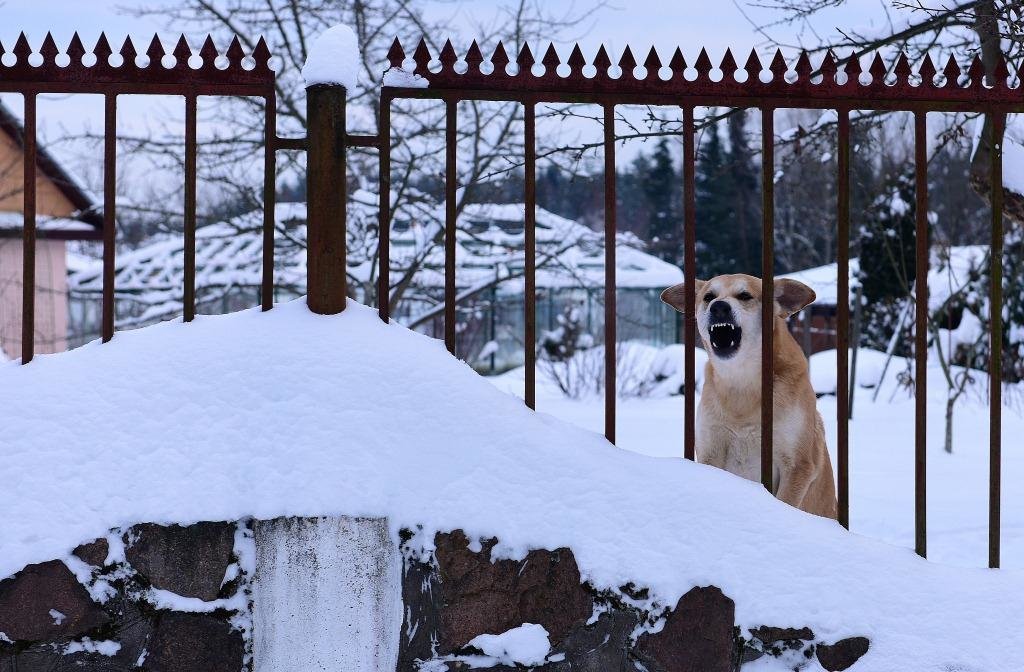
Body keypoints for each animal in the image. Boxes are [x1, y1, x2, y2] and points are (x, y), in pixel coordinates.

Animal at [659, 274, 835, 520]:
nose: (719, 307)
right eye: (708, 297)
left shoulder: (798, 465)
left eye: (745, 296)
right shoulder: (710, 451)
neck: (742, 383)